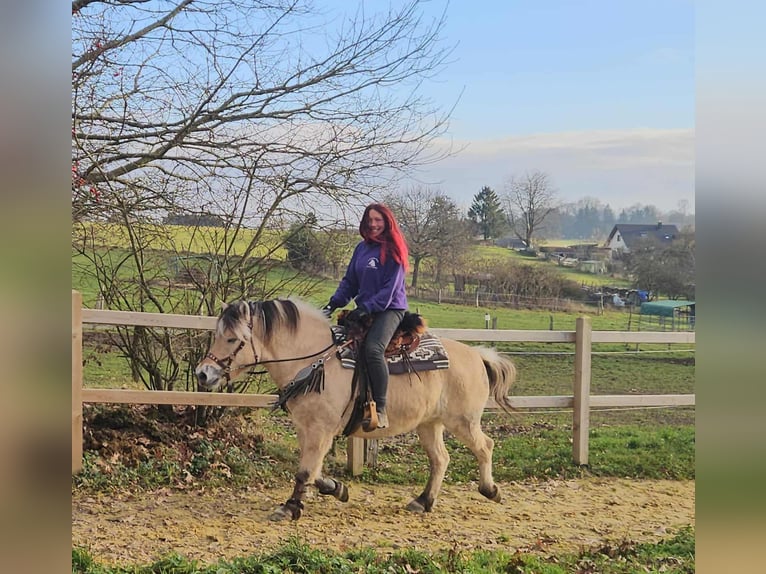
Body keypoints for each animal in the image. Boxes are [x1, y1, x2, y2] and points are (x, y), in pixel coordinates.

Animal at [195, 298, 517, 521]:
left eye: (233, 339)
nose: (203, 373)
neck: (314, 360)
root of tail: (477, 355)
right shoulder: (306, 427)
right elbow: (314, 468)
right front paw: (336, 488)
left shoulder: (320, 428)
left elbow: (305, 470)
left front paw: (290, 507)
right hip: (429, 424)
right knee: (441, 459)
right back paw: (423, 501)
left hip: (463, 421)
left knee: (485, 447)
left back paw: (491, 490)